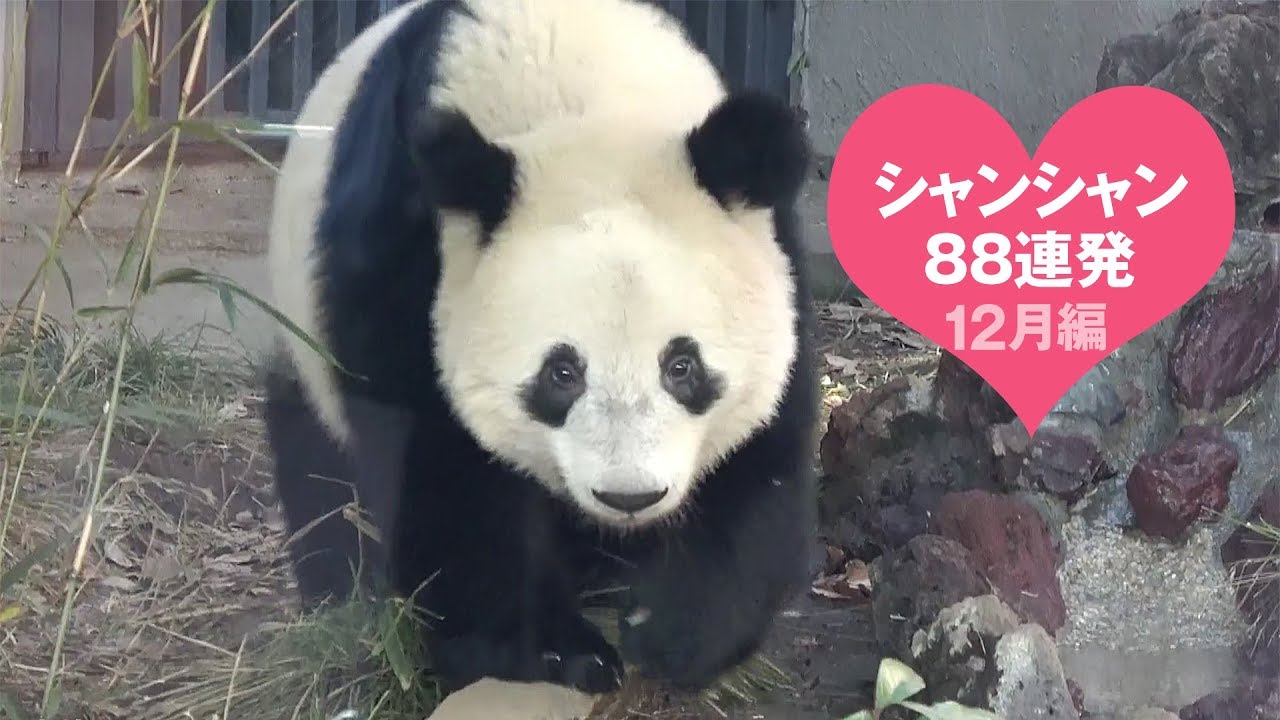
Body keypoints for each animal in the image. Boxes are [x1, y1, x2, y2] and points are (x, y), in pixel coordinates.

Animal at [261, 0, 819, 699]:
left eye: (682, 366)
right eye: (562, 373)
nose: (629, 497)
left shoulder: (772, 254)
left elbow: (760, 455)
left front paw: (678, 631)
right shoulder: (411, 250)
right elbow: (440, 464)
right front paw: (551, 649)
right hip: (298, 326)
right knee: (317, 465)